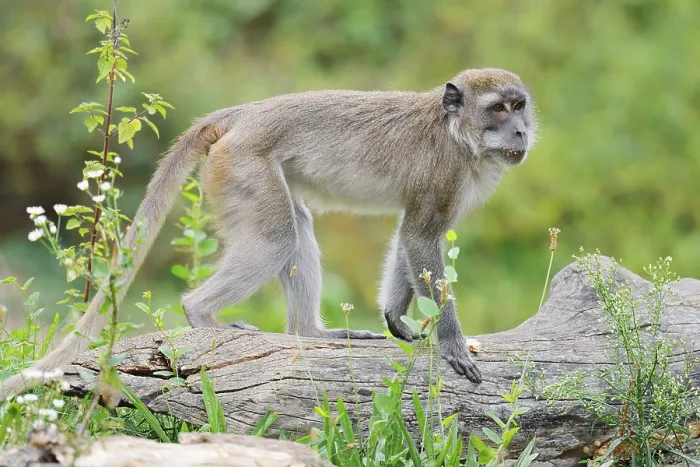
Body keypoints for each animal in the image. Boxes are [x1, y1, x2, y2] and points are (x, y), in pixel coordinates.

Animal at [0, 68, 537, 400]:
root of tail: (242, 114)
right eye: (498, 109)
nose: (521, 133)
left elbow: (412, 236)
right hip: (241, 164)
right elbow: (421, 238)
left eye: (519, 106)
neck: (457, 135)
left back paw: (310, 332)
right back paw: (200, 314)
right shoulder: (443, 172)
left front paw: (394, 316)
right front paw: (452, 343)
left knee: (294, 227)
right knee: (279, 235)